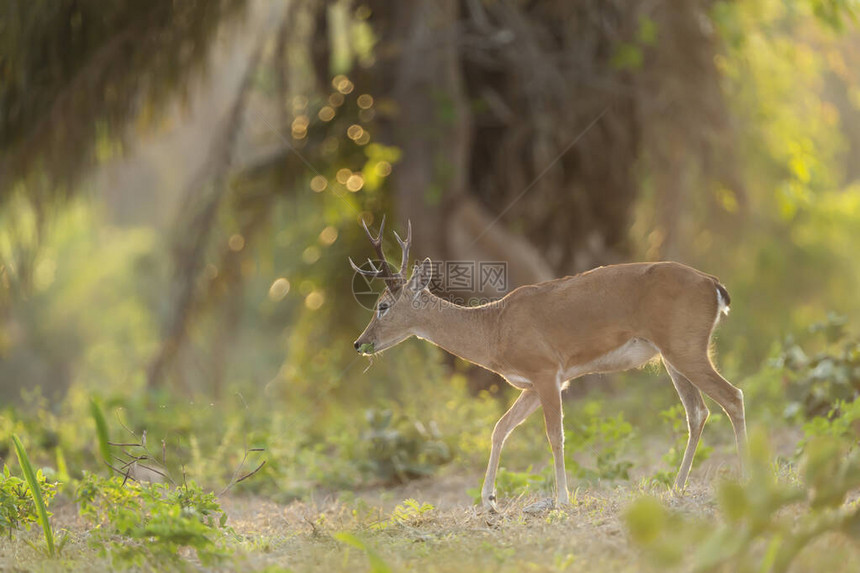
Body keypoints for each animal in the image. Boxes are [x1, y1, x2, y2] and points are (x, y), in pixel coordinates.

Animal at [350, 218, 744, 510]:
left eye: (382, 306)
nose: (359, 343)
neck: (493, 330)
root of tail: (714, 284)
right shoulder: (531, 383)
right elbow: (500, 428)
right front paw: (489, 501)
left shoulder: (546, 371)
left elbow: (555, 435)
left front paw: (562, 499)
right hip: (672, 355)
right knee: (698, 412)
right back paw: (676, 488)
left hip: (685, 346)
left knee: (732, 396)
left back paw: (746, 476)